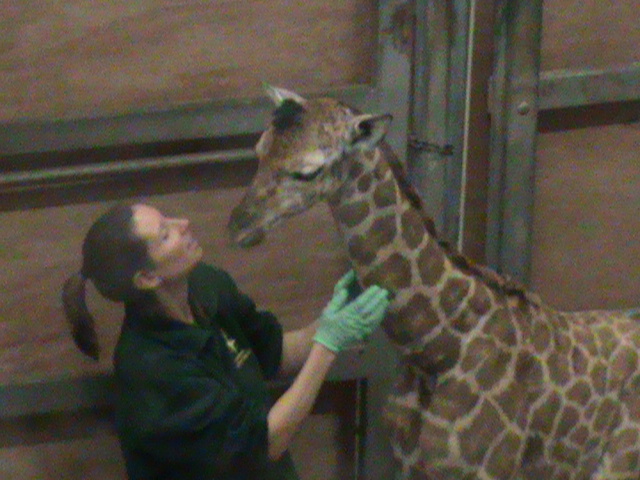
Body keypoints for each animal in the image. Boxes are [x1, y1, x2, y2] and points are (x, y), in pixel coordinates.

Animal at [227, 86, 640, 480]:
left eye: (308, 172)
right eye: (260, 148)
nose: (238, 226)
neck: (435, 350)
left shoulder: (489, 470)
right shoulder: (410, 465)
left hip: (620, 461)